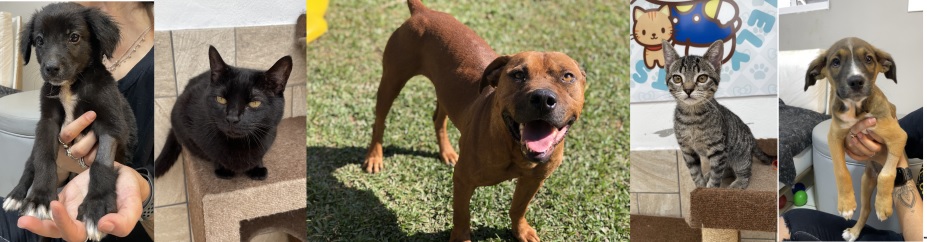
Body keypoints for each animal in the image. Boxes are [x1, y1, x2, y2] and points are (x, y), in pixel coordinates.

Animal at [0, 3, 138, 240]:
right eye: (39, 40)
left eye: (74, 37)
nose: (51, 68)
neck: (70, 86)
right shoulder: (47, 122)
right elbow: (44, 158)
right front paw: (40, 198)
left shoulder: (110, 123)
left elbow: (102, 163)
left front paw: (96, 206)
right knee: (30, 164)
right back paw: (16, 195)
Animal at [156, 46, 292, 181]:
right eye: (221, 99)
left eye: (254, 103)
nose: (232, 118)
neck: (239, 145)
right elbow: (212, 155)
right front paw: (223, 169)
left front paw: (257, 168)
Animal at [362, 0, 588, 241]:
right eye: (518, 75)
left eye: (567, 76)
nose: (543, 99)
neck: (513, 147)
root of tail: (423, 10)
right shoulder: (463, 180)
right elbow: (462, 216)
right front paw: (462, 237)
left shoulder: (533, 180)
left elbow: (518, 207)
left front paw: (521, 230)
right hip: (391, 81)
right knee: (379, 122)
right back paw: (374, 156)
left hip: (445, 91)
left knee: (438, 119)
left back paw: (447, 152)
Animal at [664, 40, 772, 189]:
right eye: (677, 78)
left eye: (702, 78)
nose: (688, 89)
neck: (692, 116)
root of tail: (752, 138)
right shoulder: (687, 150)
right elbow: (695, 173)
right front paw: (700, 187)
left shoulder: (718, 150)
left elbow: (716, 178)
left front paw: (709, 191)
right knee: (726, 169)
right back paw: (708, 175)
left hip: (739, 157)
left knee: (744, 173)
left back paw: (737, 184)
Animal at [804, 36, 908, 241]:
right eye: (835, 62)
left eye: (869, 59)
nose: (856, 81)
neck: (857, 109)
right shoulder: (835, 137)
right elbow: (840, 170)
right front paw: (846, 204)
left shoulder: (898, 136)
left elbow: (888, 173)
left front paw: (883, 205)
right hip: (865, 181)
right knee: (866, 209)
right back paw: (854, 232)